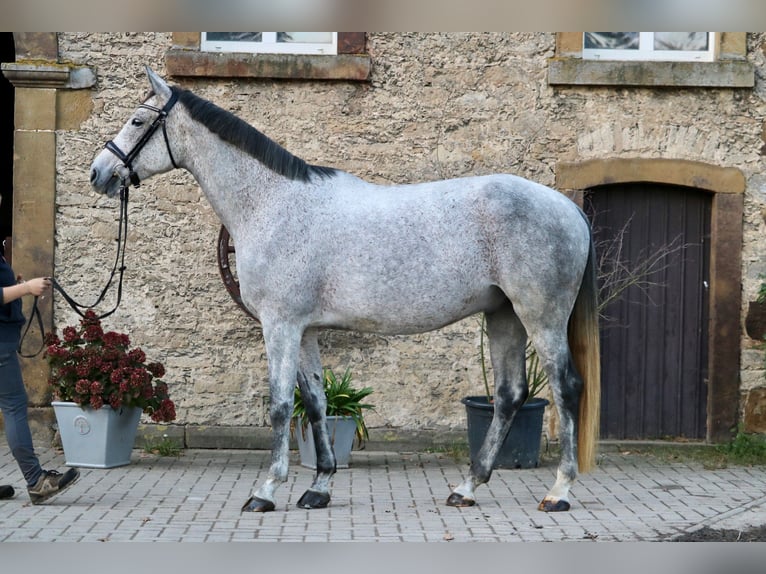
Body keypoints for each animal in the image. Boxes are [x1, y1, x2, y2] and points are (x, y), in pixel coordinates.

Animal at [90, 68, 604, 516]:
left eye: (138, 121)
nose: (99, 173)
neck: (272, 203)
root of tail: (568, 208)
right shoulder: (305, 330)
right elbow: (315, 403)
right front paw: (318, 488)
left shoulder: (280, 325)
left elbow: (280, 406)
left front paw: (266, 490)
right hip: (503, 316)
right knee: (510, 394)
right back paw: (467, 487)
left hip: (541, 316)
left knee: (565, 386)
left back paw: (559, 491)